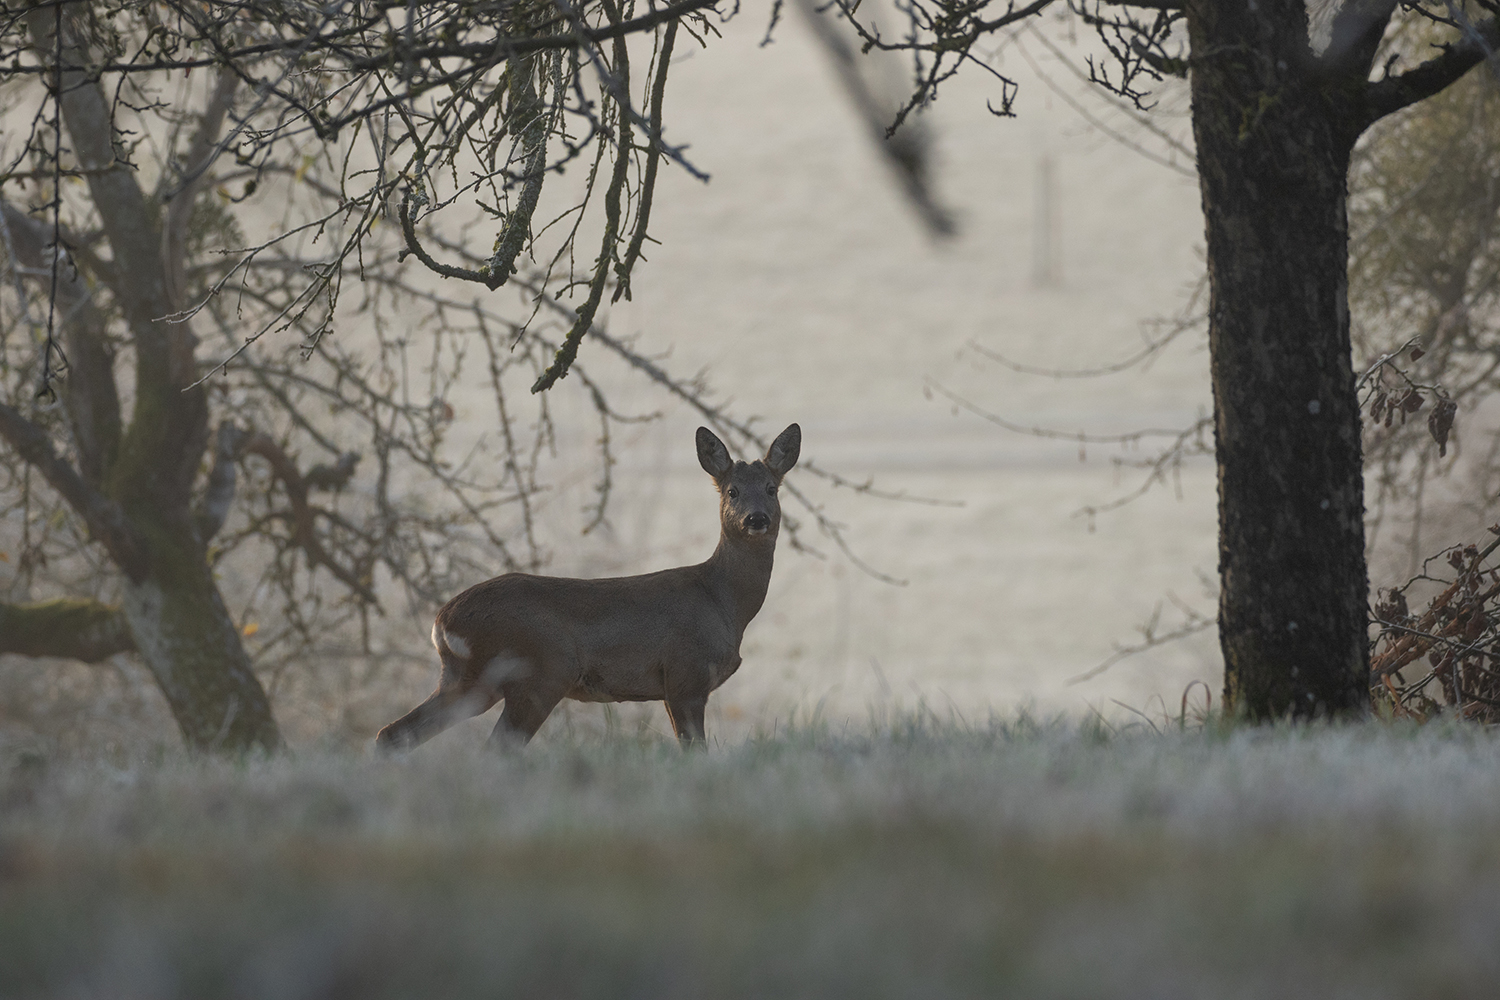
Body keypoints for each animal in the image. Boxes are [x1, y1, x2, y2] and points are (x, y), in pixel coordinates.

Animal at [375, 422, 804, 749]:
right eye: (732, 490)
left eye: (772, 489)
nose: (756, 519)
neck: (723, 602)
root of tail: (442, 622)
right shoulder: (686, 674)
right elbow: (694, 751)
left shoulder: (676, 685)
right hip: (539, 672)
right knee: (496, 748)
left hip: (468, 680)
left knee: (395, 733)